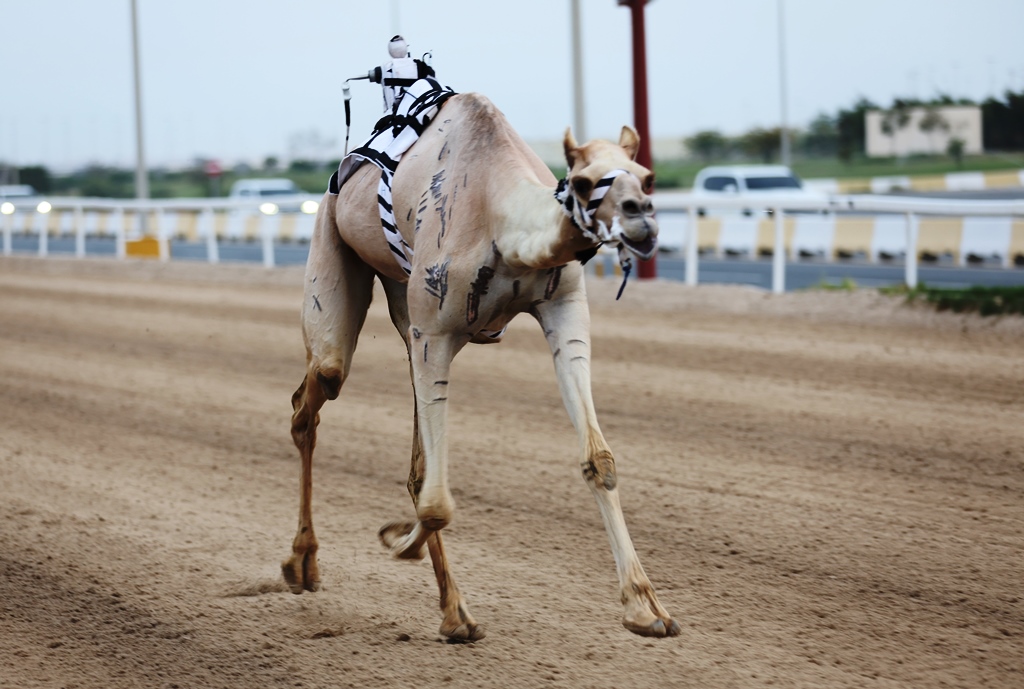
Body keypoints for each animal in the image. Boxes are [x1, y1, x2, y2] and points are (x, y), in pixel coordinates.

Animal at [282, 91, 679, 638]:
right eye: (581, 181)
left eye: (646, 176)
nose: (641, 221)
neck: (500, 217)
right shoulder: (436, 330)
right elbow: (436, 503)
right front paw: (394, 539)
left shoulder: (563, 308)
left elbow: (599, 460)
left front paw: (647, 608)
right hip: (335, 253)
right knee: (315, 391)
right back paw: (302, 564)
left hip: (404, 310)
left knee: (414, 464)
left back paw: (455, 613)